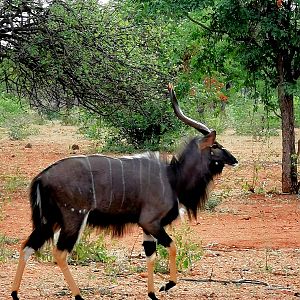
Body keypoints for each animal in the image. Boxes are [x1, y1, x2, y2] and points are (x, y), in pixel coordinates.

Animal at [10, 83, 238, 298]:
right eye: (216, 145)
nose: (235, 160)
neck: (172, 177)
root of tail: (41, 177)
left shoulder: (147, 227)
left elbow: (151, 255)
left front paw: (152, 294)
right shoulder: (150, 222)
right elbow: (172, 246)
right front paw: (167, 285)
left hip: (49, 220)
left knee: (27, 247)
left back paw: (15, 293)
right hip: (73, 217)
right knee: (59, 252)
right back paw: (78, 295)